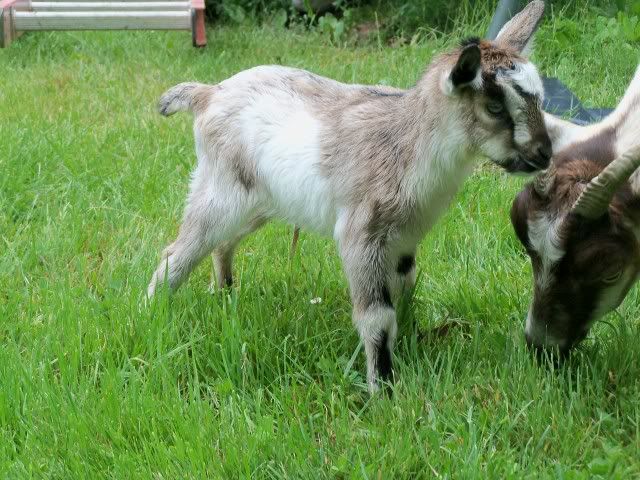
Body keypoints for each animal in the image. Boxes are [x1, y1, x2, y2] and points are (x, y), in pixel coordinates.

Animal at [148, 1, 550, 392]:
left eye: (540, 100)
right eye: (494, 107)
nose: (544, 154)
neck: (407, 144)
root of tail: (208, 93)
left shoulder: (404, 239)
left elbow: (405, 287)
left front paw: (410, 343)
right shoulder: (362, 235)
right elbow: (378, 317)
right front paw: (383, 390)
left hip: (257, 202)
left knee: (222, 243)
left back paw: (225, 293)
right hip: (220, 190)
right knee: (179, 252)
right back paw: (153, 311)